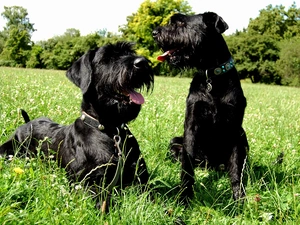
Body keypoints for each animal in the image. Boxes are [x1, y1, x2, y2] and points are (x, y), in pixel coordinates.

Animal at [0, 41, 154, 212]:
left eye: (130, 52)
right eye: (107, 58)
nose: (142, 62)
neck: (111, 130)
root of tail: (27, 123)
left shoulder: (141, 178)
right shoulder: (88, 183)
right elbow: (102, 203)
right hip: (8, 149)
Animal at [152, 11, 248, 202]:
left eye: (181, 23)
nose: (154, 32)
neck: (212, 77)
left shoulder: (234, 129)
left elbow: (236, 167)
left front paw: (238, 198)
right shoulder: (192, 124)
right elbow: (187, 165)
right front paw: (185, 196)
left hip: (243, 137)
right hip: (175, 141)